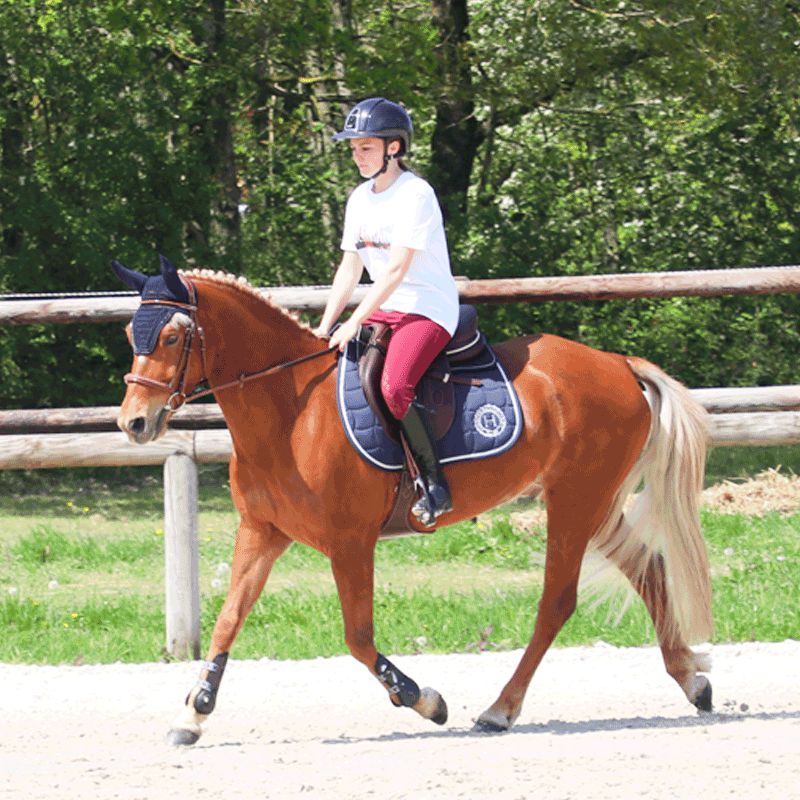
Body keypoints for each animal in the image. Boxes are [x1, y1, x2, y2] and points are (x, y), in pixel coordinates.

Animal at [111, 256, 712, 744]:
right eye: (128, 330)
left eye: (171, 337)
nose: (133, 422)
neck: (290, 411)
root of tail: (617, 363)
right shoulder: (262, 532)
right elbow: (228, 619)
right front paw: (193, 713)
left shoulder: (350, 543)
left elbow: (357, 638)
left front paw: (426, 701)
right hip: (594, 500)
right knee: (648, 567)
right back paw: (692, 680)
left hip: (574, 499)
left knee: (558, 601)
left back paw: (500, 709)